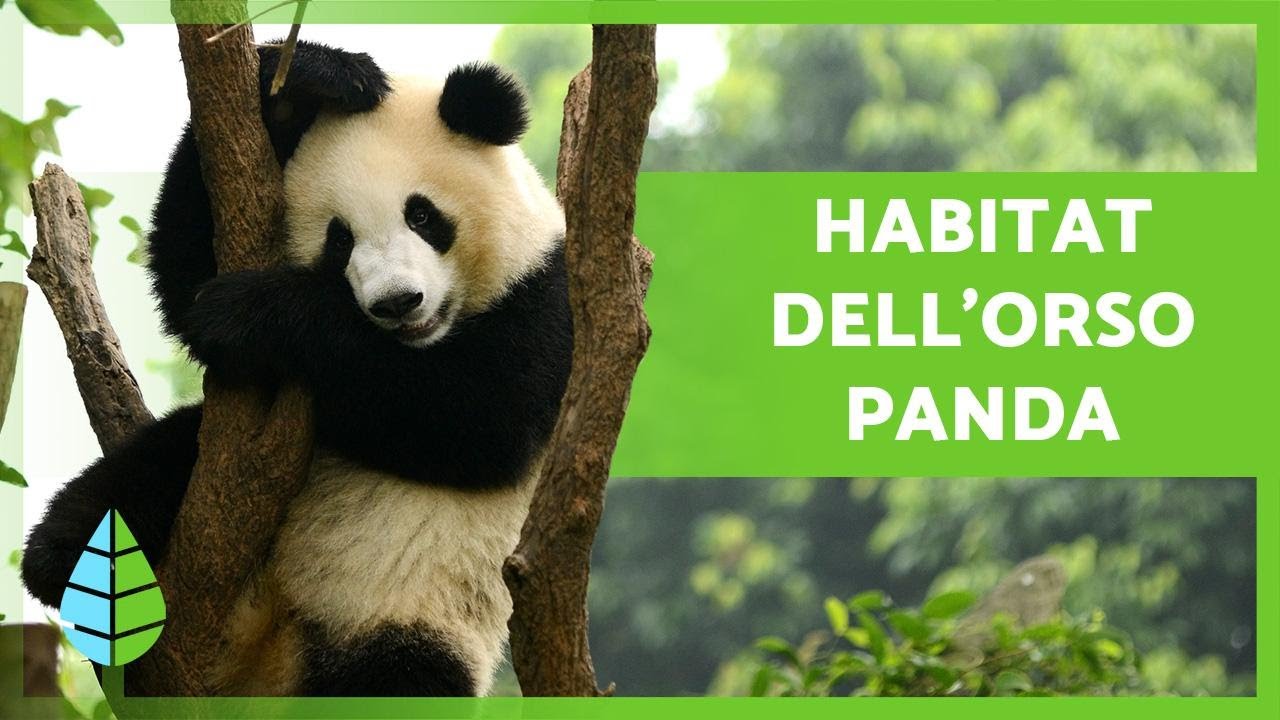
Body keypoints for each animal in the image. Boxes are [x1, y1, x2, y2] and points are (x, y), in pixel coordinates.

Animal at [21, 42, 572, 697]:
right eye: (340, 241)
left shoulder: (551, 297)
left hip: (412, 621)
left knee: (398, 676)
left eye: (422, 216)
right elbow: (185, 270)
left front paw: (251, 311)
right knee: (149, 468)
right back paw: (62, 557)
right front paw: (311, 79)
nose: (397, 302)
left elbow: (483, 418)